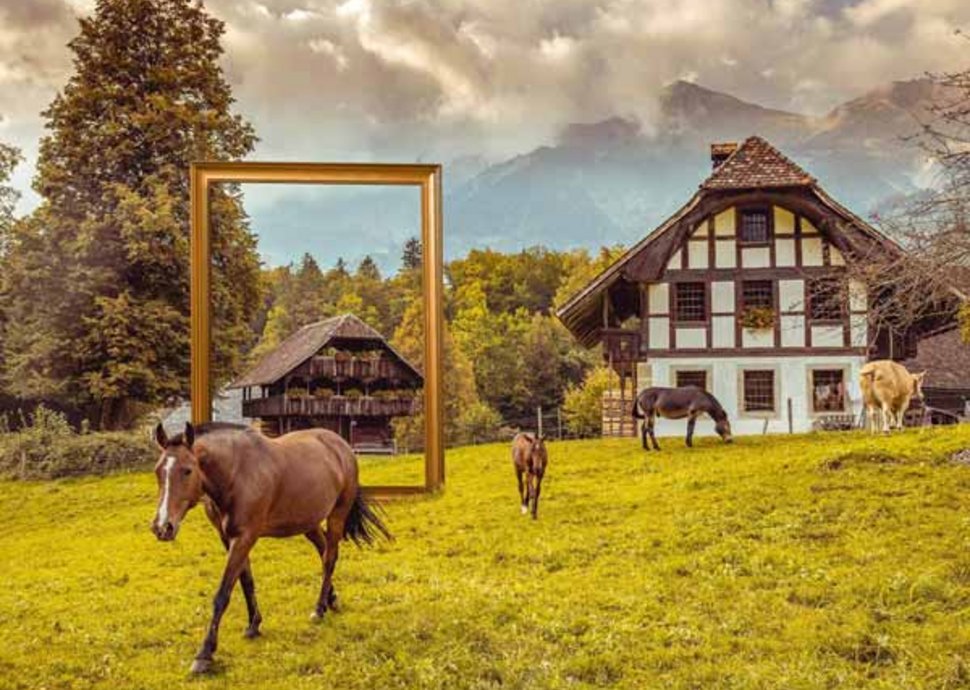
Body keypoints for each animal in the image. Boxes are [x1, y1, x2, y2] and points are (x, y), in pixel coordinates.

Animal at [149, 420, 388, 672]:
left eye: (187, 470)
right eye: (158, 471)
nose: (162, 526)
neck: (236, 474)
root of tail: (341, 445)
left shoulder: (245, 537)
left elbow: (223, 593)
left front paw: (204, 654)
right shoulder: (229, 539)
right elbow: (246, 582)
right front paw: (254, 624)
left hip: (336, 516)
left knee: (329, 559)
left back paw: (319, 608)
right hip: (308, 523)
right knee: (324, 551)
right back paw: (330, 600)